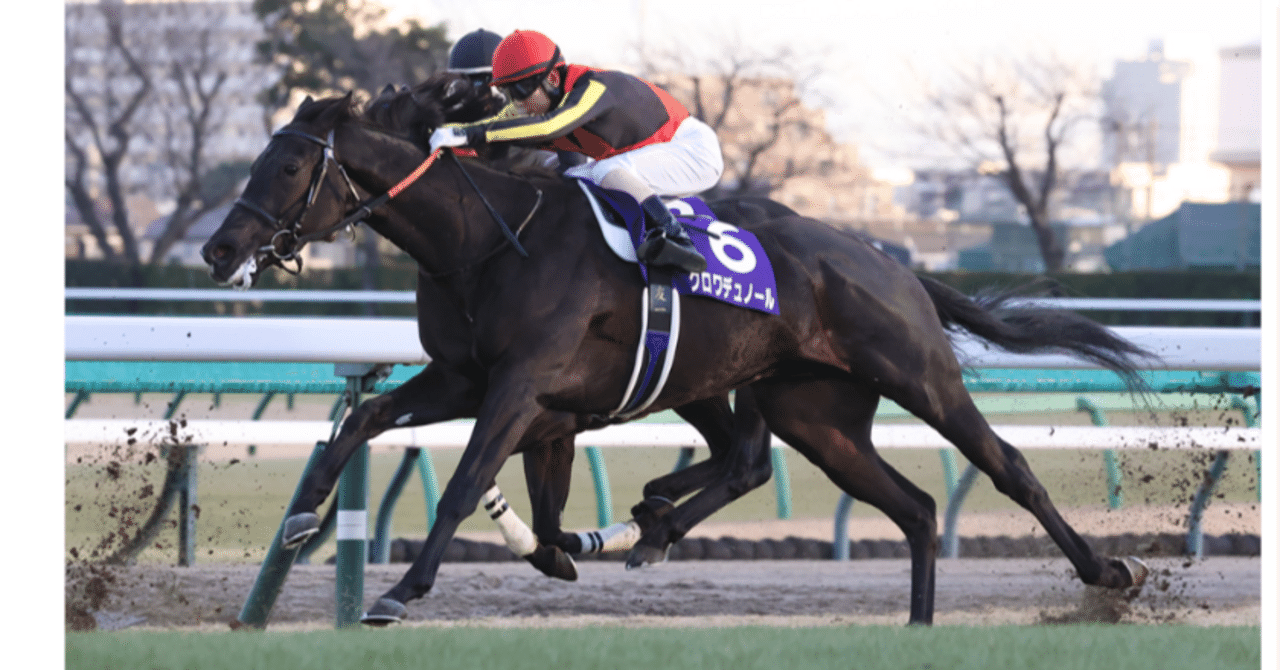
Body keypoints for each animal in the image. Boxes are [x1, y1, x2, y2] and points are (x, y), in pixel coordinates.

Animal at [203, 87, 1154, 626]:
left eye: (287, 168)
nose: (219, 251)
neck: (485, 241)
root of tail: (891, 261)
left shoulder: (519, 386)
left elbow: (469, 481)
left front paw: (402, 592)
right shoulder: (470, 380)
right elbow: (364, 420)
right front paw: (303, 518)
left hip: (917, 377)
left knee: (1007, 468)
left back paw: (1110, 572)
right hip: (812, 413)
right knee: (904, 504)